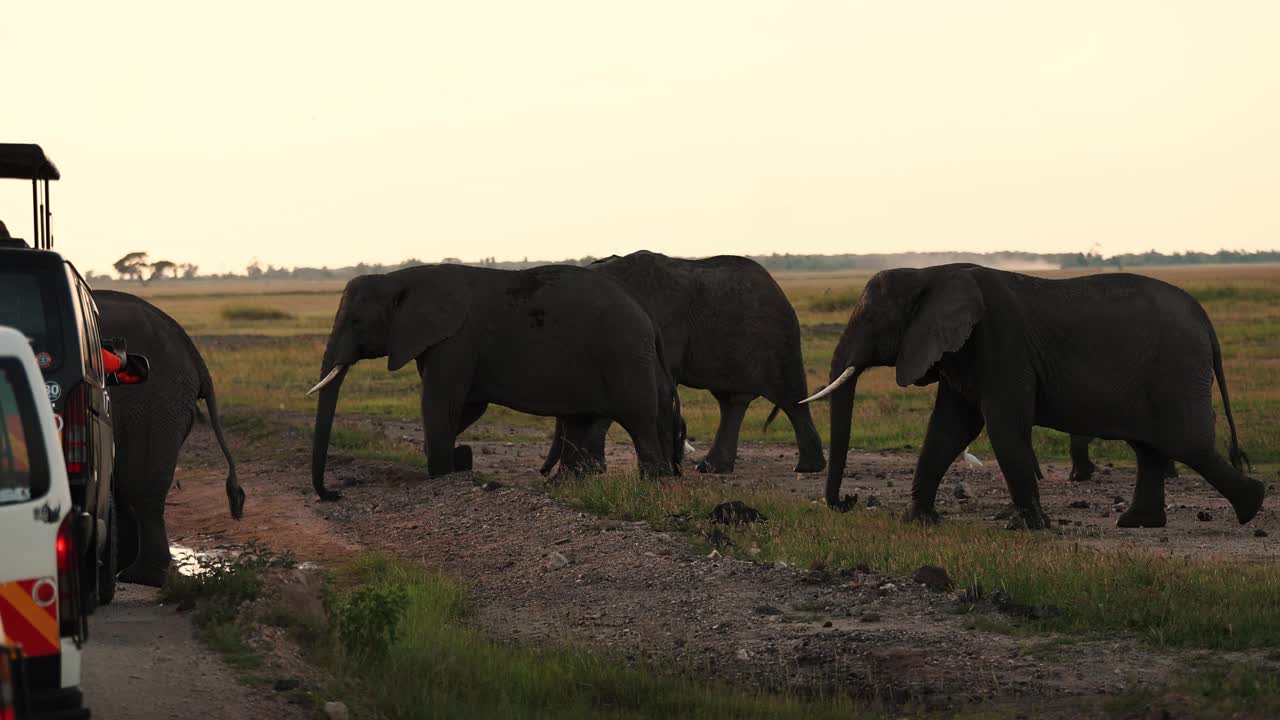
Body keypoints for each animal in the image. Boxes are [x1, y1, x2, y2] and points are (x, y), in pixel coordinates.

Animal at [305, 263, 686, 499]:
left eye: (355, 321)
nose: (334, 494)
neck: (400, 278)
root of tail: (646, 315)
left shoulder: (454, 340)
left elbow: (440, 403)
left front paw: (443, 476)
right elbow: (466, 407)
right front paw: (461, 461)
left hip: (623, 354)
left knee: (638, 420)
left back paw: (653, 486)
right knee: (583, 420)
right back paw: (563, 487)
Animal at [537, 249, 819, 474]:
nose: (543, 471)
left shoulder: (661, 326)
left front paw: (590, 471)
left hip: (778, 338)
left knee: (790, 397)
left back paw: (806, 467)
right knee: (732, 400)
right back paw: (712, 468)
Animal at [803, 263, 1264, 527]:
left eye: (871, 319)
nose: (847, 502)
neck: (928, 271)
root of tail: (1206, 320)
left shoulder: (1000, 342)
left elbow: (1002, 424)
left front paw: (1029, 527)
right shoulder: (961, 351)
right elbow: (949, 429)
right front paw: (918, 521)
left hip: (1175, 369)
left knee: (1186, 444)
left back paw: (1252, 506)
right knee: (1151, 447)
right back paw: (1136, 524)